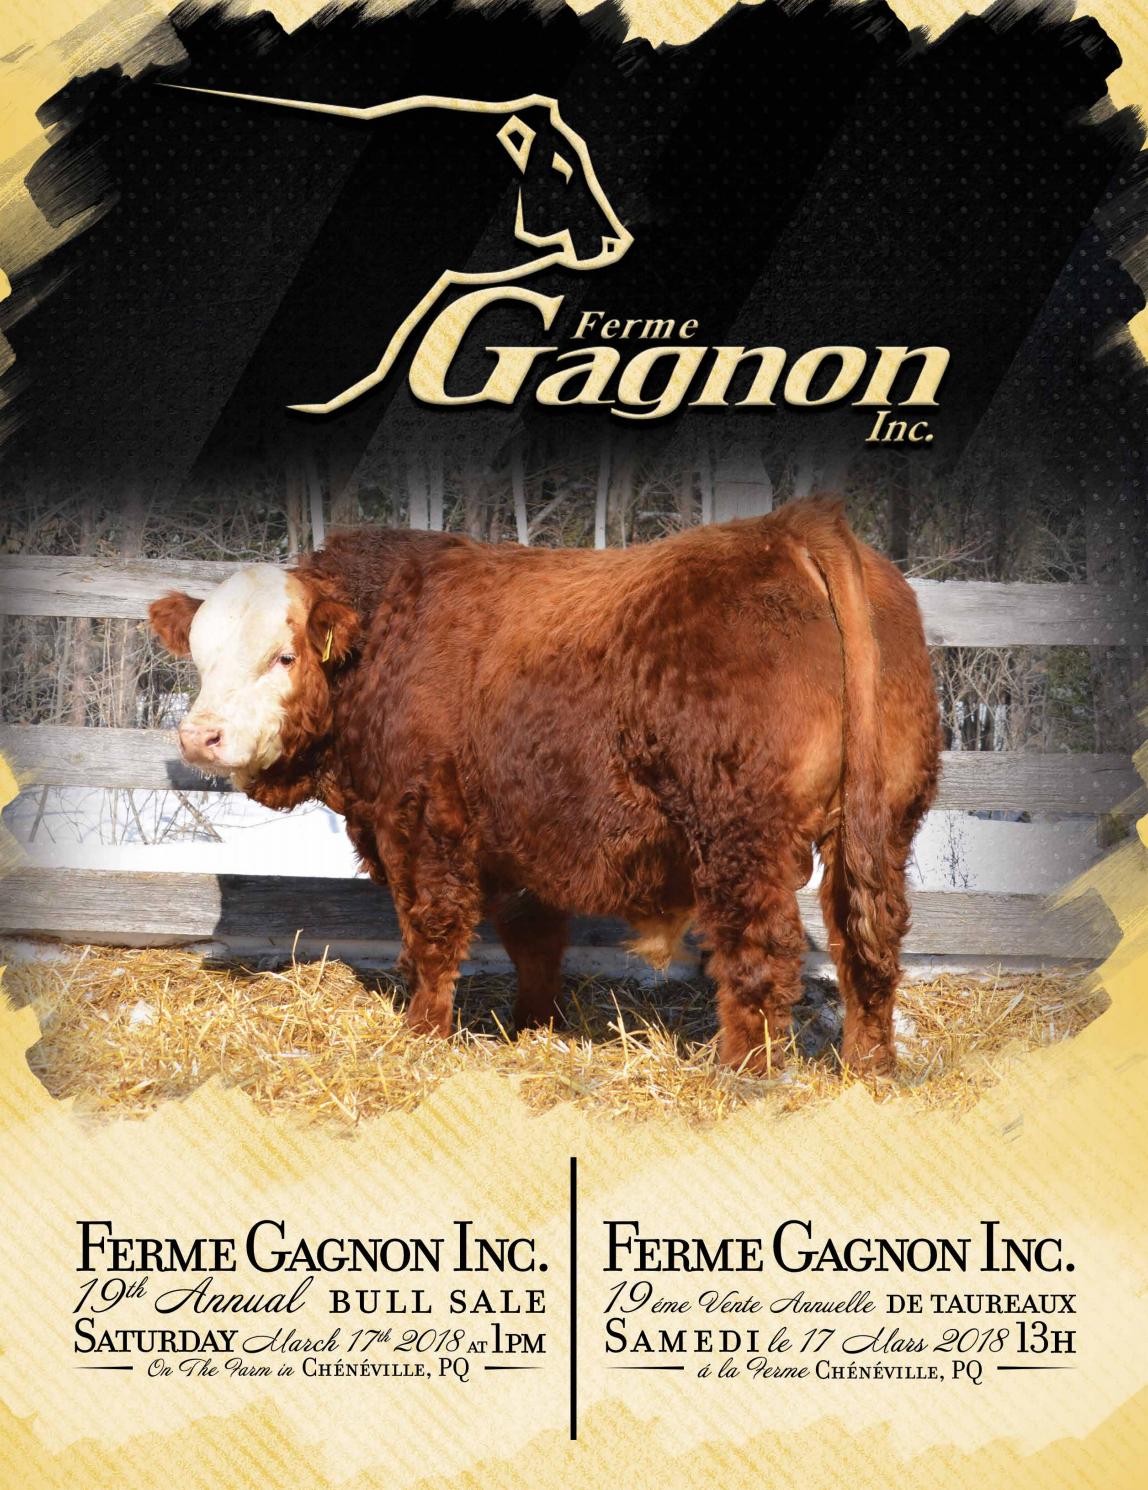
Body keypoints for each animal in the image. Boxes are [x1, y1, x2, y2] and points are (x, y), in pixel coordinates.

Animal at [149, 501, 940, 1077]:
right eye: (200, 657)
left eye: (283, 657)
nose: (199, 736)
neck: (383, 642)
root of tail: (792, 528)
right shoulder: (516, 838)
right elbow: (534, 941)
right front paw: (533, 1026)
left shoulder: (420, 825)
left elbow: (431, 934)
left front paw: (424, 1032)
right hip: (883, 826)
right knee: (868, 939)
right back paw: (869, 1067)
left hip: (741, 837)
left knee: (762, 950)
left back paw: (741, 1071)